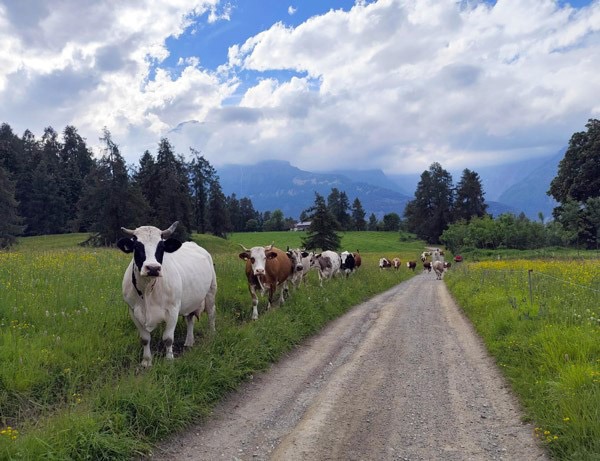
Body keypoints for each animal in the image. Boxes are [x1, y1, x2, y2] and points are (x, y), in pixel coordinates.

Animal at [117, 221, 218, 368]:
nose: (153, 268)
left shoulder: (173, 310)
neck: (148, 290)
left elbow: (168, 338)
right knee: (190, 319)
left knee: (211, 314)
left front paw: (169, 360)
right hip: (191, 301)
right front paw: (146, 361)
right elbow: (145, 339)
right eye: (137, 246)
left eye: (162, 246)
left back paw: (211, 335)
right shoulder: (133, 311)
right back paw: (189, 341)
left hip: (211, 292)